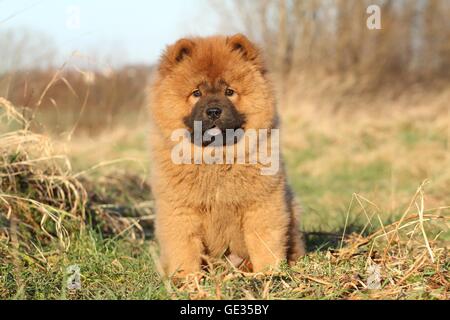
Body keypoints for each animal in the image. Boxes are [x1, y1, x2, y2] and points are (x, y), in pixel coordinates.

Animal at [149, 33, 304, 278]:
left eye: (229, 92)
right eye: (196, 93)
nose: (213, 111)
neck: (217, 160)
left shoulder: (263, 203)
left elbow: (265, 242)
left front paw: (270, 274)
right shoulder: (180, 211)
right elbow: (183, 249)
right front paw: (187, 279)